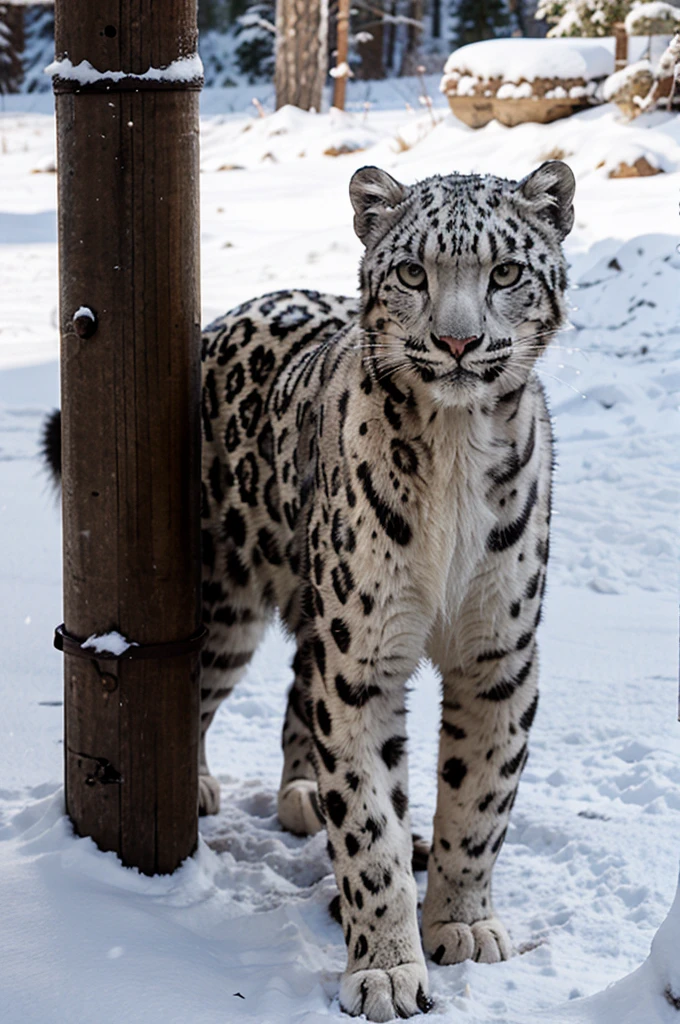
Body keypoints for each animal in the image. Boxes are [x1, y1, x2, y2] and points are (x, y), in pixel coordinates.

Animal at [44, 159, 575, 1021]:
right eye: (412, 272)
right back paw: (201, 787)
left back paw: (302, 793)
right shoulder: (361, 658)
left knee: (301, 684)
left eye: (504, 272)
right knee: (205, 687)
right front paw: (387, 970)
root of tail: (227, 316)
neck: (456, 455)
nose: (458, 341)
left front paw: (462, 924)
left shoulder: (499, 650)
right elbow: (368, 821)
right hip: (233, 598)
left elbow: (482, 795)